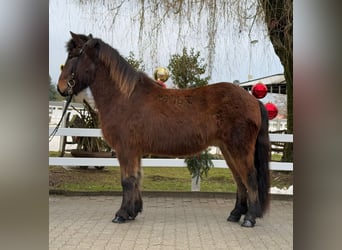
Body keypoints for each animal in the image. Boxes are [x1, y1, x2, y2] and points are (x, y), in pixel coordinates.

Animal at [58, 32, 270, 228]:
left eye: (74, 56)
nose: (61, 88)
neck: (124, 97)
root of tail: (253, 100)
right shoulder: (135, 151)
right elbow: (136, 178)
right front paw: (133, 211)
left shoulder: (125, 149)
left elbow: (127, 180)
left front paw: (121, 214)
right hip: (227, 149)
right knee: (239, 179)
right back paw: (235, 214)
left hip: (238, 148)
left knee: (250, 178)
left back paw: (250, 218)